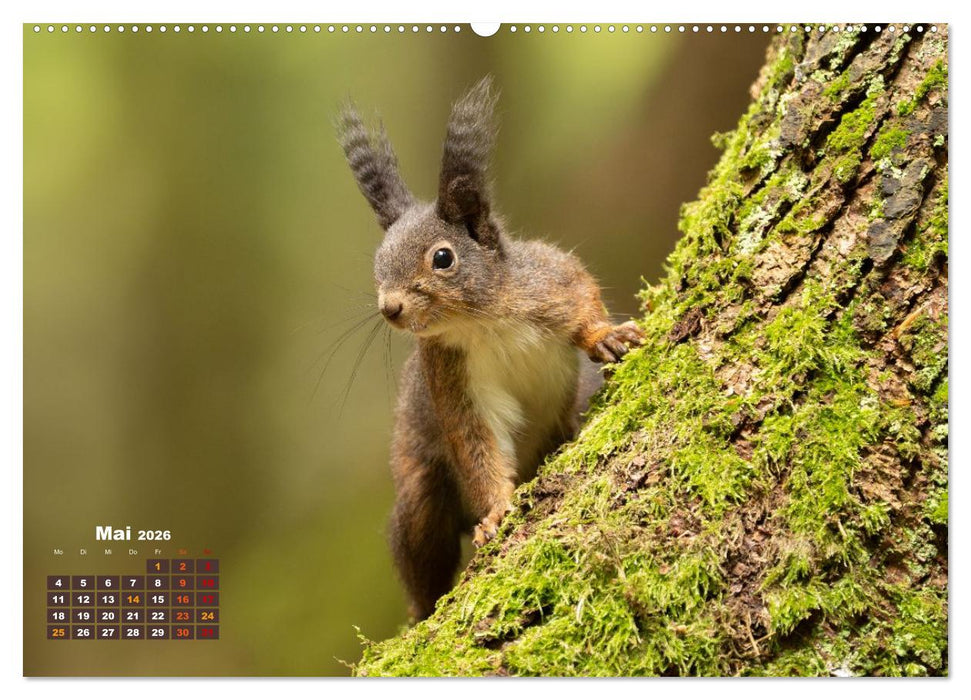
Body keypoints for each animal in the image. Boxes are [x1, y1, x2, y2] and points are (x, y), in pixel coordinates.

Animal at [336, 76, 645, 621]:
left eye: (443, 258)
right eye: (378, 263)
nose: (389, 308)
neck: (482, 323)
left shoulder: (549, 280)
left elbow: (582, 294)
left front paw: (604, 335)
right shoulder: (451, 378)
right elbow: (476, 443)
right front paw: (497, 511)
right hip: (421, 492)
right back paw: (421, 612)